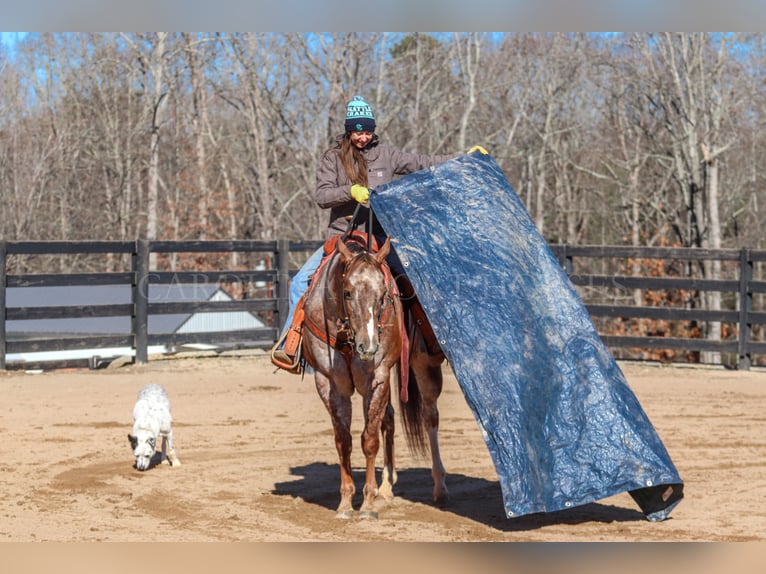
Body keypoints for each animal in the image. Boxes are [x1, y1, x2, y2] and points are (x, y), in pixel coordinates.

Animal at [298, 234, 444, 520]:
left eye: (383, 295)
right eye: (347, 292)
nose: (369, 346)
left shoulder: (377, 377)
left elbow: (369, 439)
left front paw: (367, 503)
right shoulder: (329, 382)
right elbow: (343, 440)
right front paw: (345, 503)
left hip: (422, 365)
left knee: (429, 416)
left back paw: (439, 485)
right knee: (390, 418)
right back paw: (386, 487)